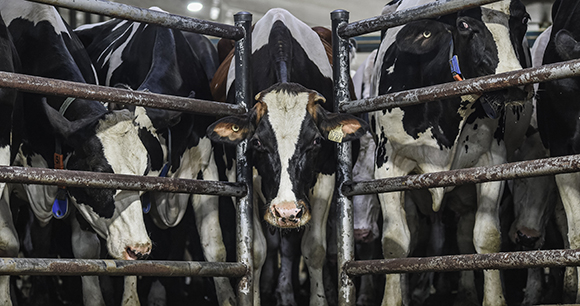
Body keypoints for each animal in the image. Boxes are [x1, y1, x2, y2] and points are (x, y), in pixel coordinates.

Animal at [208, 7, 368, 306]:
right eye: (257, 142)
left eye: (315, 141)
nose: (287, 211)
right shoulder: (244, 177)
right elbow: (256, 251)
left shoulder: (326, 175)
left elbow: (314, 248)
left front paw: (319, 298)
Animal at [370, 1, 532, 304]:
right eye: (464, 24)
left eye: (524, 19)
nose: (514, 83)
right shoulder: (387, 165)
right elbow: (395, 243)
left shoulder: (491, 161)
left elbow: (487, 238)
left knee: (464, 233)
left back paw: (466, 291)